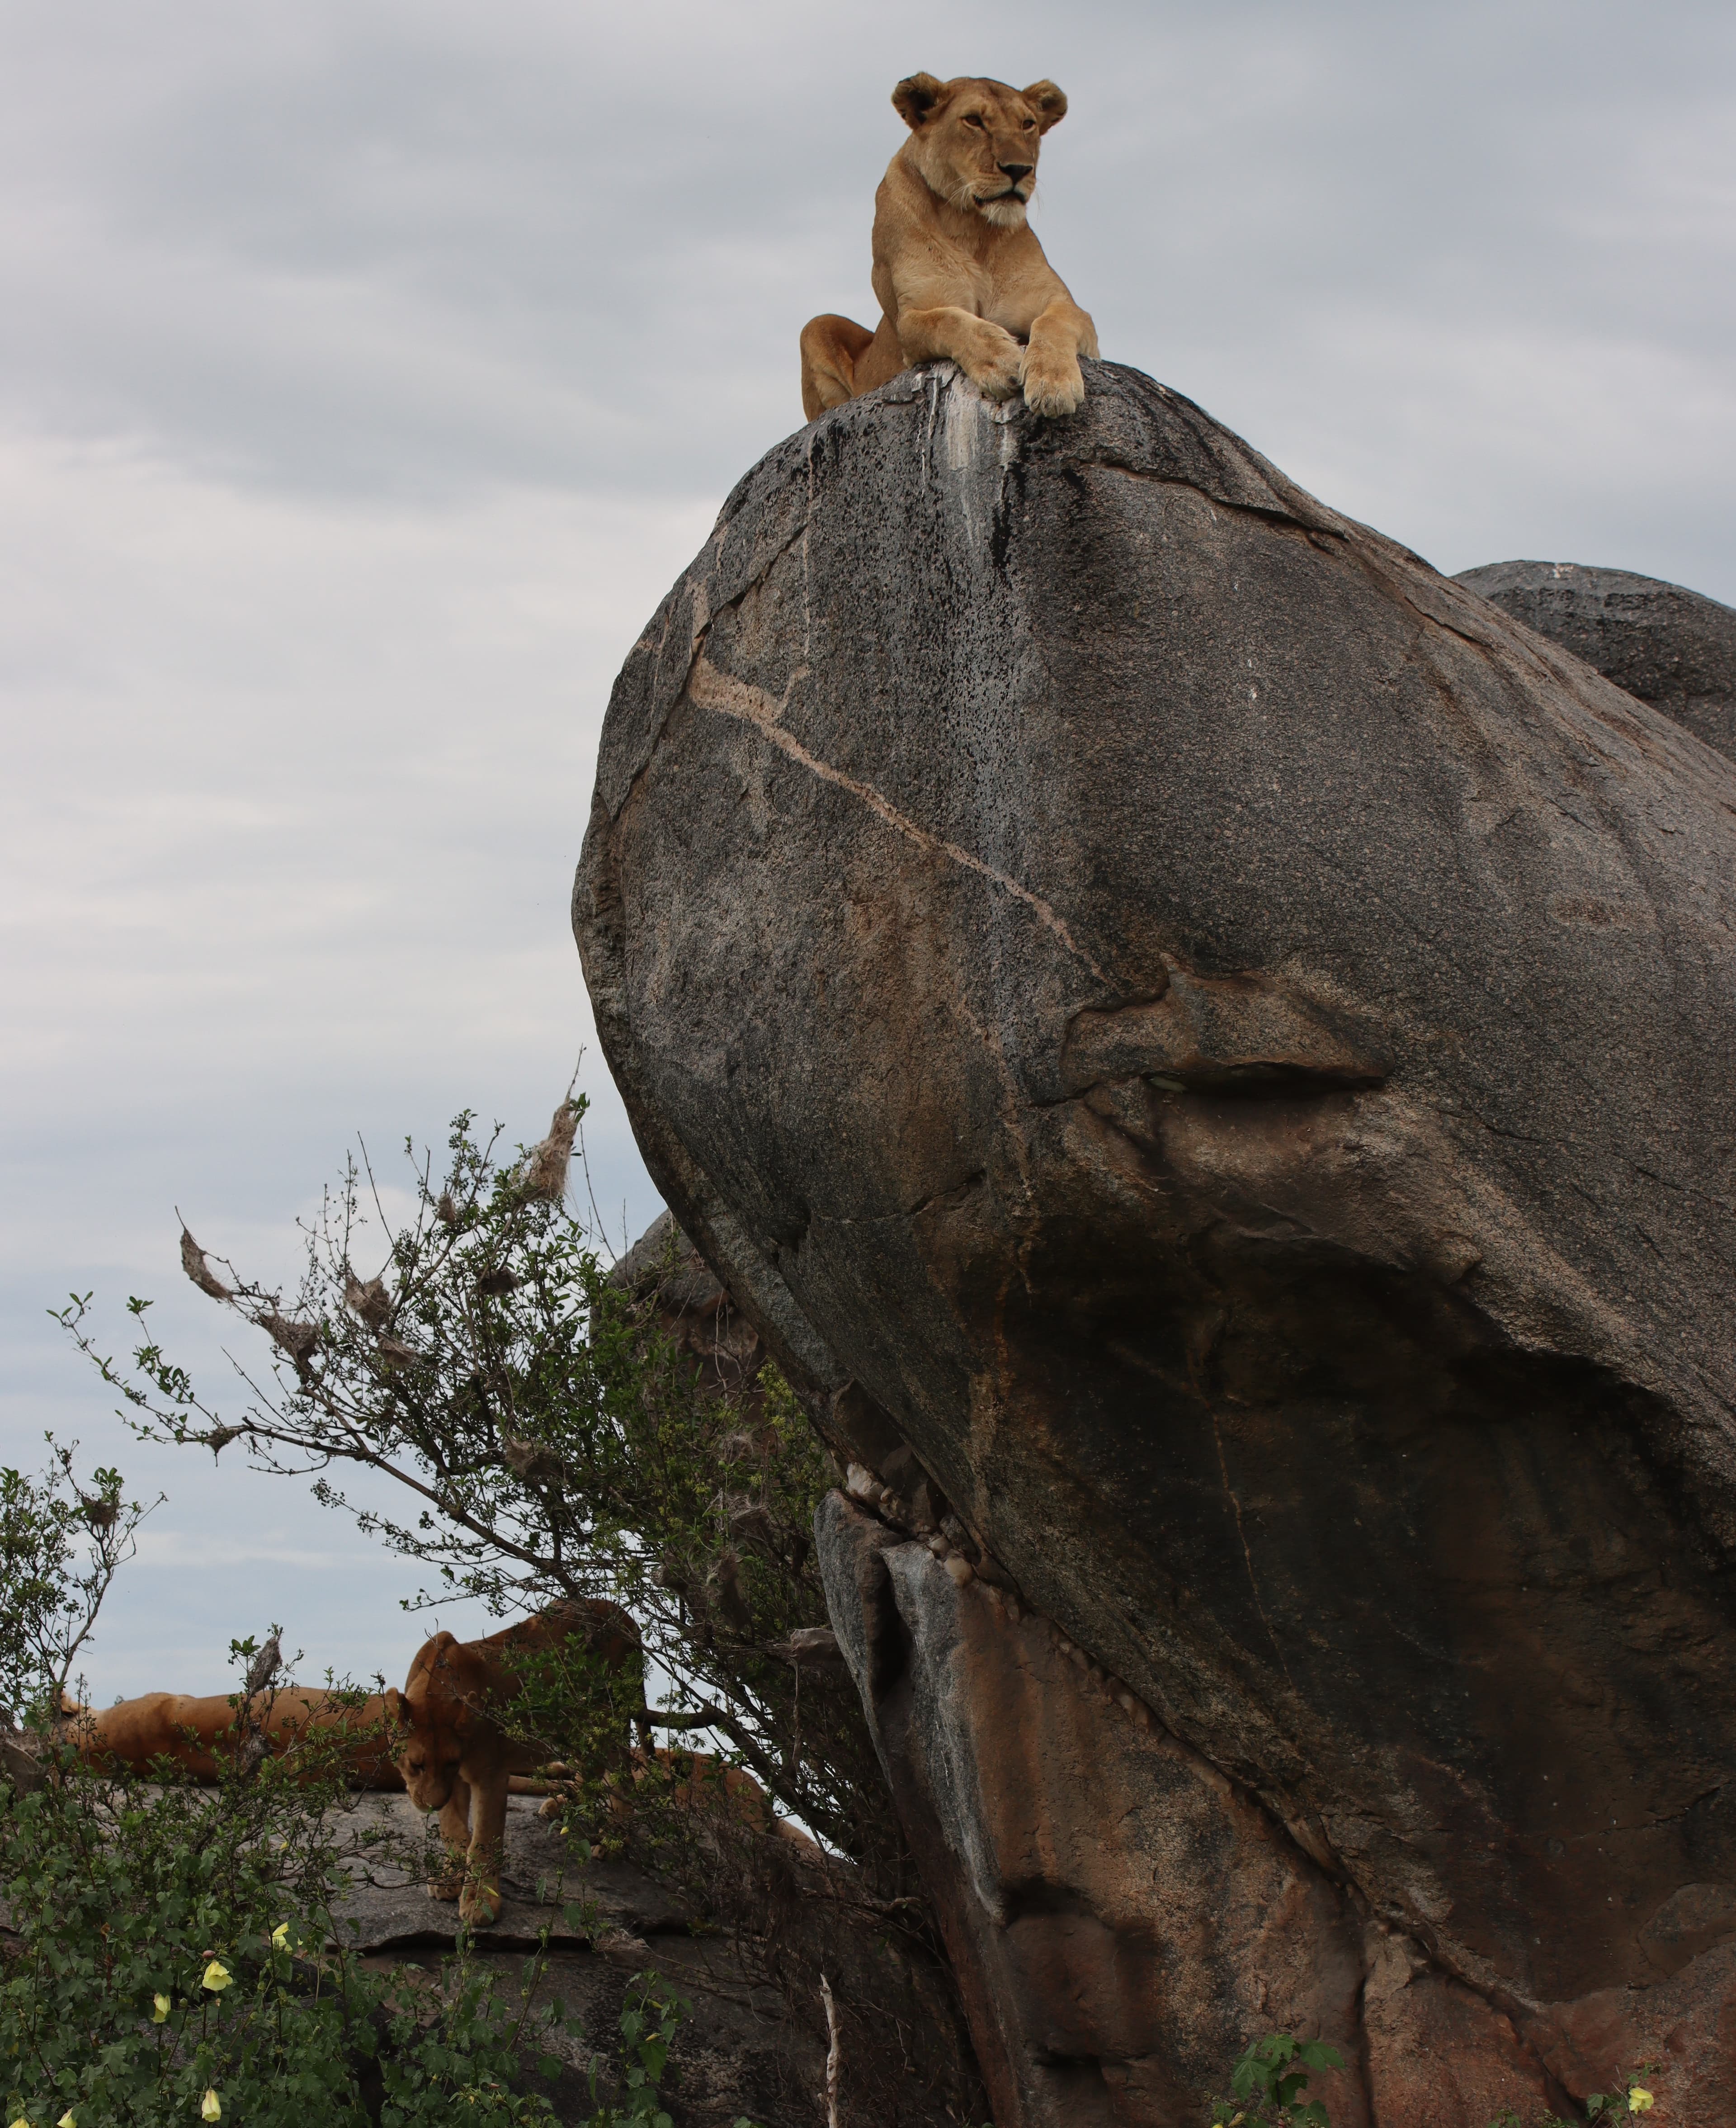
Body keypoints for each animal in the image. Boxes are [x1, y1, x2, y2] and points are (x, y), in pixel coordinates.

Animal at [386, 1599, 643, 1927]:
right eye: (416, 1765)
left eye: (450, 1763)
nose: (432, 1803)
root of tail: (626, 1618)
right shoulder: (454, 1782)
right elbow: (453, 1829)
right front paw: (450, 1877)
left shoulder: (489, 1774)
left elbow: (483, 1839)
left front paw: (480, 1902)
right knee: (592, 1767)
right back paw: (561, 1805)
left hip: (606, 1715)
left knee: (623, 1777)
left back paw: (614, 1840)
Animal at [799, 72, 1097, 424]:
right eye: (974, 121)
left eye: (1028, 124)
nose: (1019, 169)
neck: (972, 227)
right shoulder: (910, 321)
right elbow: (949, 320)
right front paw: (1001, 360)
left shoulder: (1062, 303)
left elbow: (1053, 323)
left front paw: (1054, 383)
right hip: (817, 326)